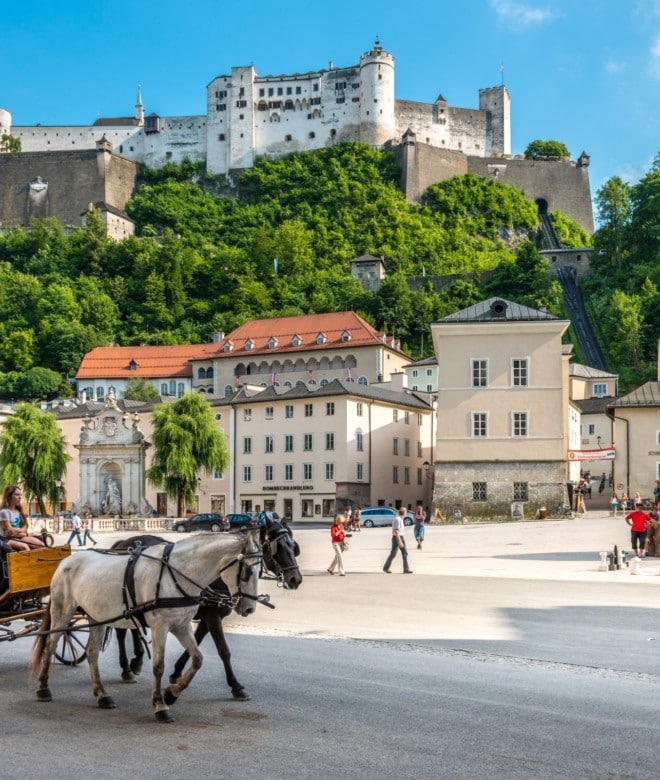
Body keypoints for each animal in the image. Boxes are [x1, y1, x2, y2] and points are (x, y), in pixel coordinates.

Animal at [30, 532, 262, 724]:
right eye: (248, 571)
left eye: (260, 570)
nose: (250, 608)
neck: (177, 573)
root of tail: (66, 561)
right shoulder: (161, 625)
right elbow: (159, 666)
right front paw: (160, 704)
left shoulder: (181, 625)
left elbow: (197, 658)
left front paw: (172, 693)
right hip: (62, 611)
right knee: (50, 645)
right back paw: (43, 688)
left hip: (97, 615)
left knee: (92, 653)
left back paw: (102, 694)